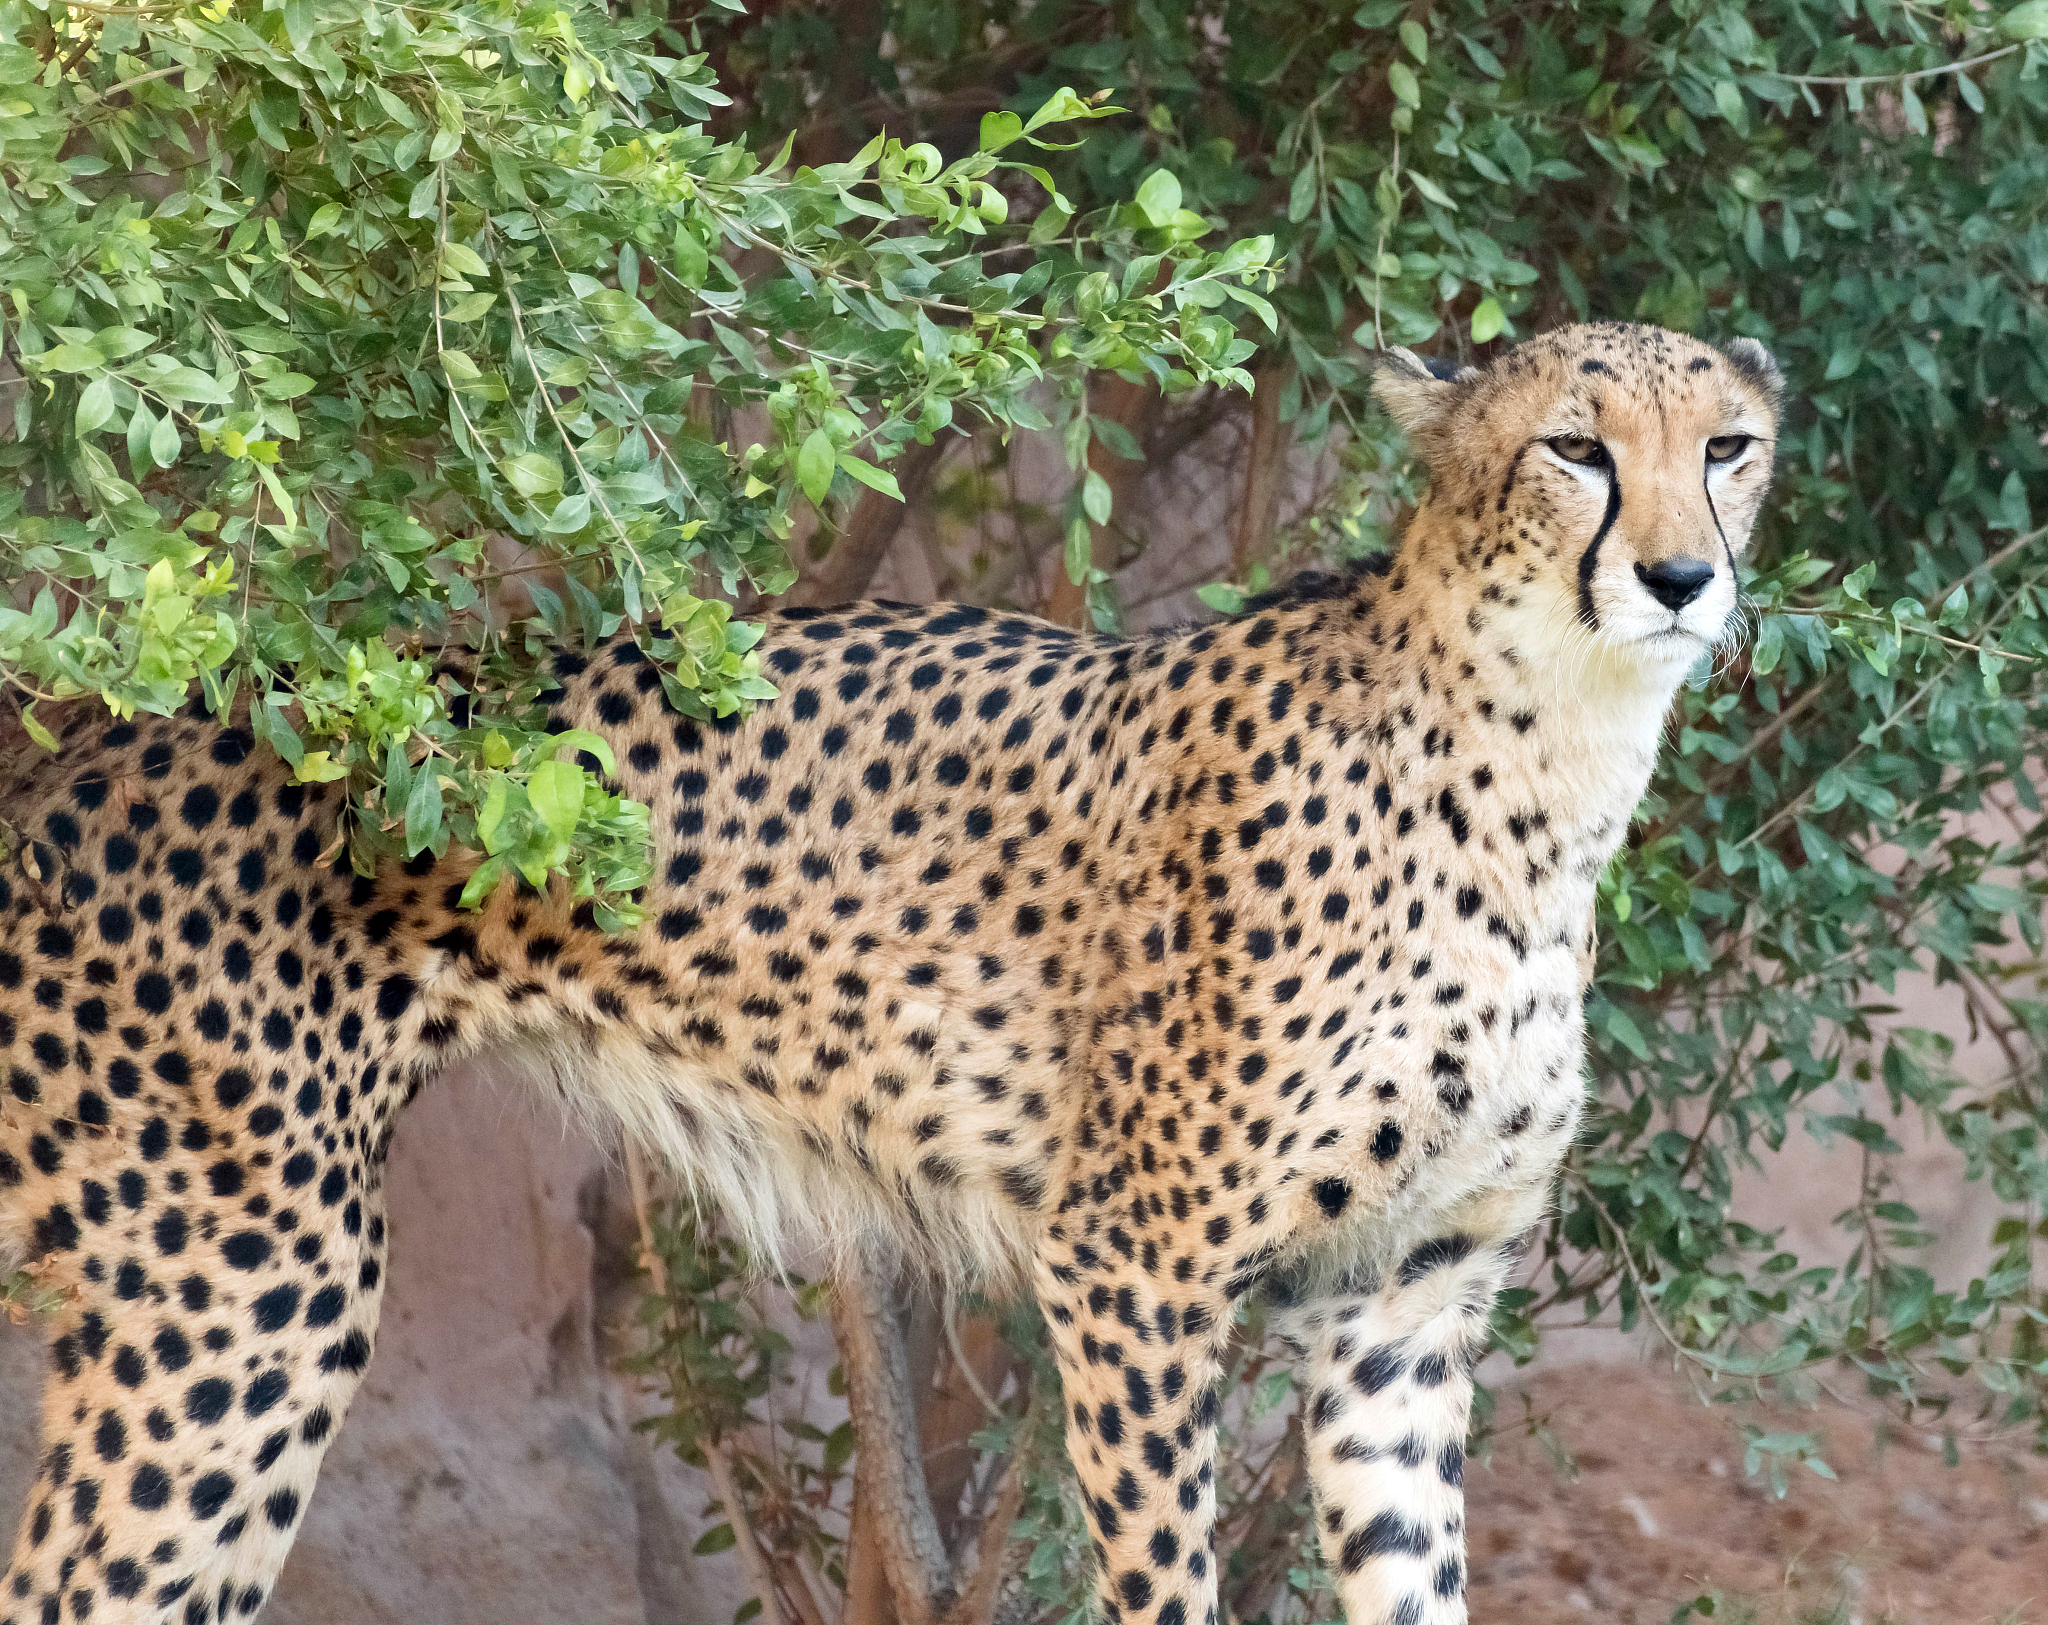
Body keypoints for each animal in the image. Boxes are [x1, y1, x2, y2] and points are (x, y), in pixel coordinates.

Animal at [0, 319, 1783, 1625]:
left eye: (1728, 449)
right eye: (1574, 447)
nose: (1683, 577)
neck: (1549, 757)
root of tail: (97, 738)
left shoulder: (1406, 1303)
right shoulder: (1131, 1263)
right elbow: (1168, 1580)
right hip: (245, 1287)